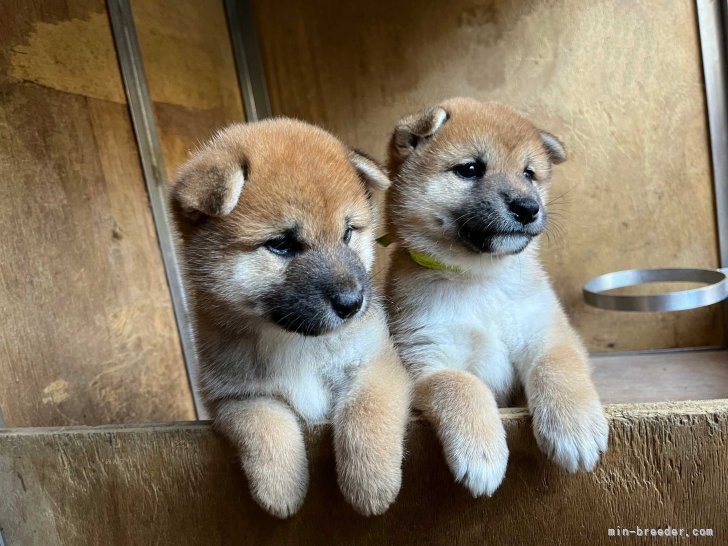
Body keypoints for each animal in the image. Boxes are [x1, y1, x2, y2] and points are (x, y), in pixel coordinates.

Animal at [168, 118, 412, 516]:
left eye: (348, 233)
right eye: (281, 244)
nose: (352, 303)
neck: (294, 342)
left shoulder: (376, 362)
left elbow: (365, 410)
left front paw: (370, 481)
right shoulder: (235, 396)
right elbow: (265, 425)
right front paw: (280, 489)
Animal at [386, 98, 608, 498]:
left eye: (529, 174)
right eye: (470, 169)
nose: (527, 207)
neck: (480, 279)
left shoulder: (547, 334)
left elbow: (556, 367)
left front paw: (575, 427)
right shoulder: (428, 358)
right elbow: (462, 386)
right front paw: (481, 452)